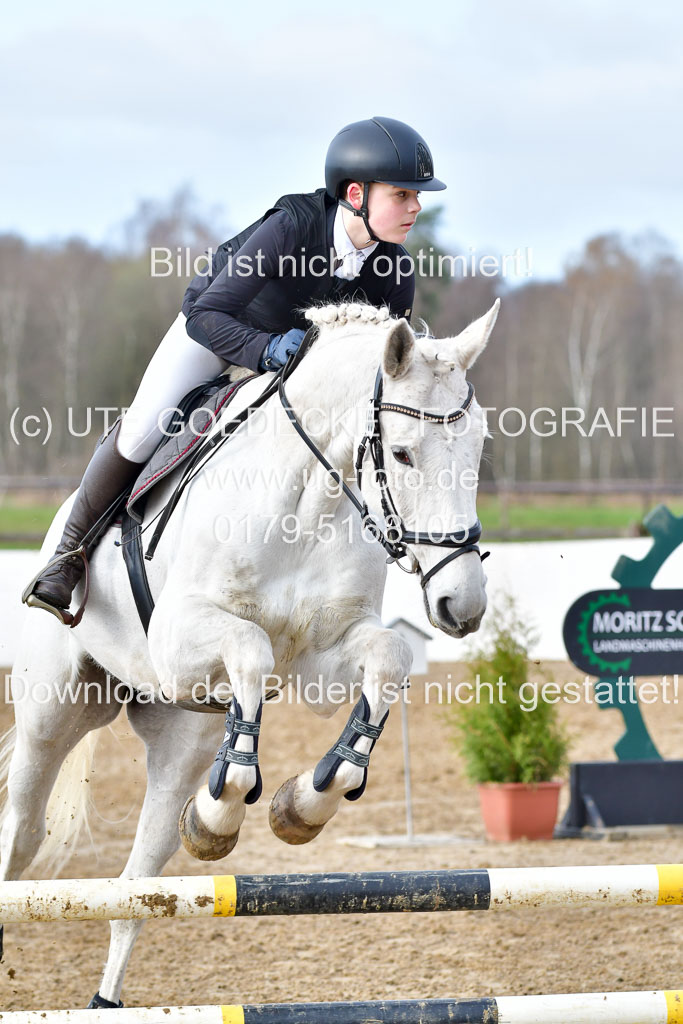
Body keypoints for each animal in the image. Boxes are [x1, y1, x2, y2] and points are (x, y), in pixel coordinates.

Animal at [0, 298, 499, 1006]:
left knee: (136, 887)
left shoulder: (322, 666)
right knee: (24, 832)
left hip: (179, 741)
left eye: (479, 446)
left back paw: (114, 986)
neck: (309, 500)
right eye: (402, 454)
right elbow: (252, 645)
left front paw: (301, 803)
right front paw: (232, 802)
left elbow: (388, 661)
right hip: (53, 712)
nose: (463, 604)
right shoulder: (182, 638)